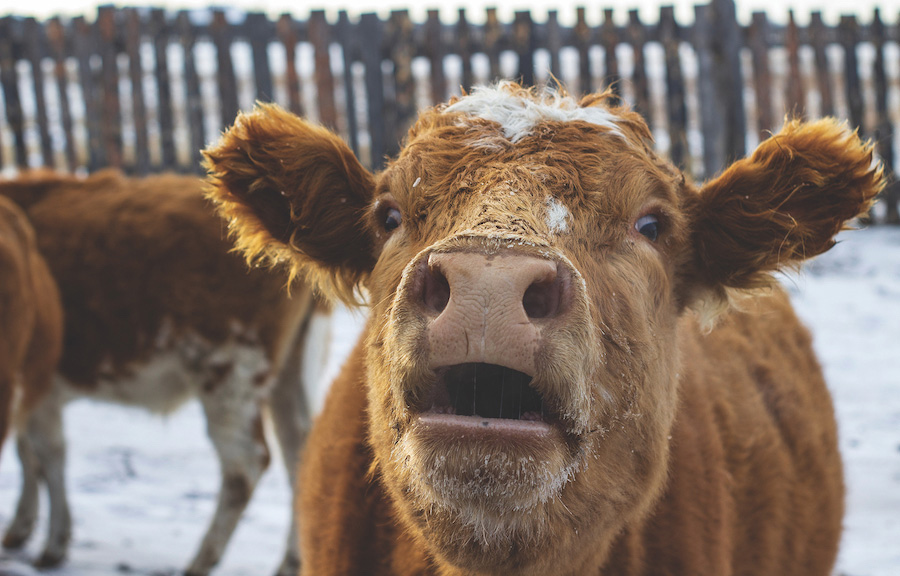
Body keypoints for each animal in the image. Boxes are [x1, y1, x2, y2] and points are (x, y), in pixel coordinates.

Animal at [0, 169, 324, 572]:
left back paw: (201, 560)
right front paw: (21, 526)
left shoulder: (39, 386)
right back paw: (291, 561)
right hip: (289, 375)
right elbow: (28, 454)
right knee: (301, 453)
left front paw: (54, 543)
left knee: (244, 465)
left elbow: (47, 456)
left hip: (232, 376)